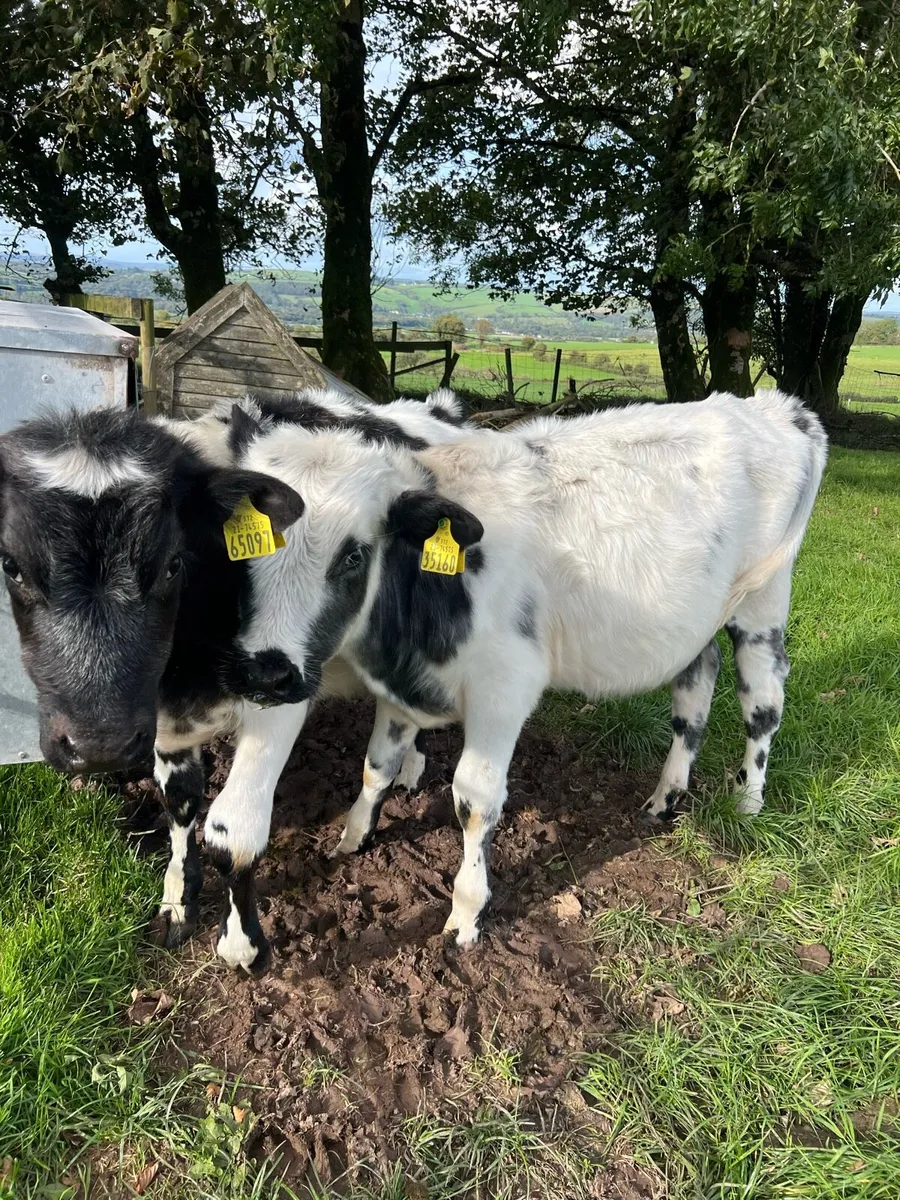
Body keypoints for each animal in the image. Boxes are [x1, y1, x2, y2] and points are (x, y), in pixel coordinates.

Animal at [0, 388, 469, 973]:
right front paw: (177, 899)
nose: (99, 745)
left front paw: (242, 944)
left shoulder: (281, 693)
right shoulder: (164, 719)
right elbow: (180, 803)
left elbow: (234, 831)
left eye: (173, 564)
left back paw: (408, 763)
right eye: (11, 565)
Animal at [224, 389, 827, 948]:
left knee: (763, 701)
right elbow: (377, 766)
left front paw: (467, 911)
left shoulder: (504, 688)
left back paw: (748, 801)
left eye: (354, 554)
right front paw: (354, 837)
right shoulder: (398, 690)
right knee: (696, 685)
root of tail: (778, 407)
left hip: (762, 604)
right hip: (695, 622)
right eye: (244, 550)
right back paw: (665, 797)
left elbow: (473, 801)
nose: (266, 673)